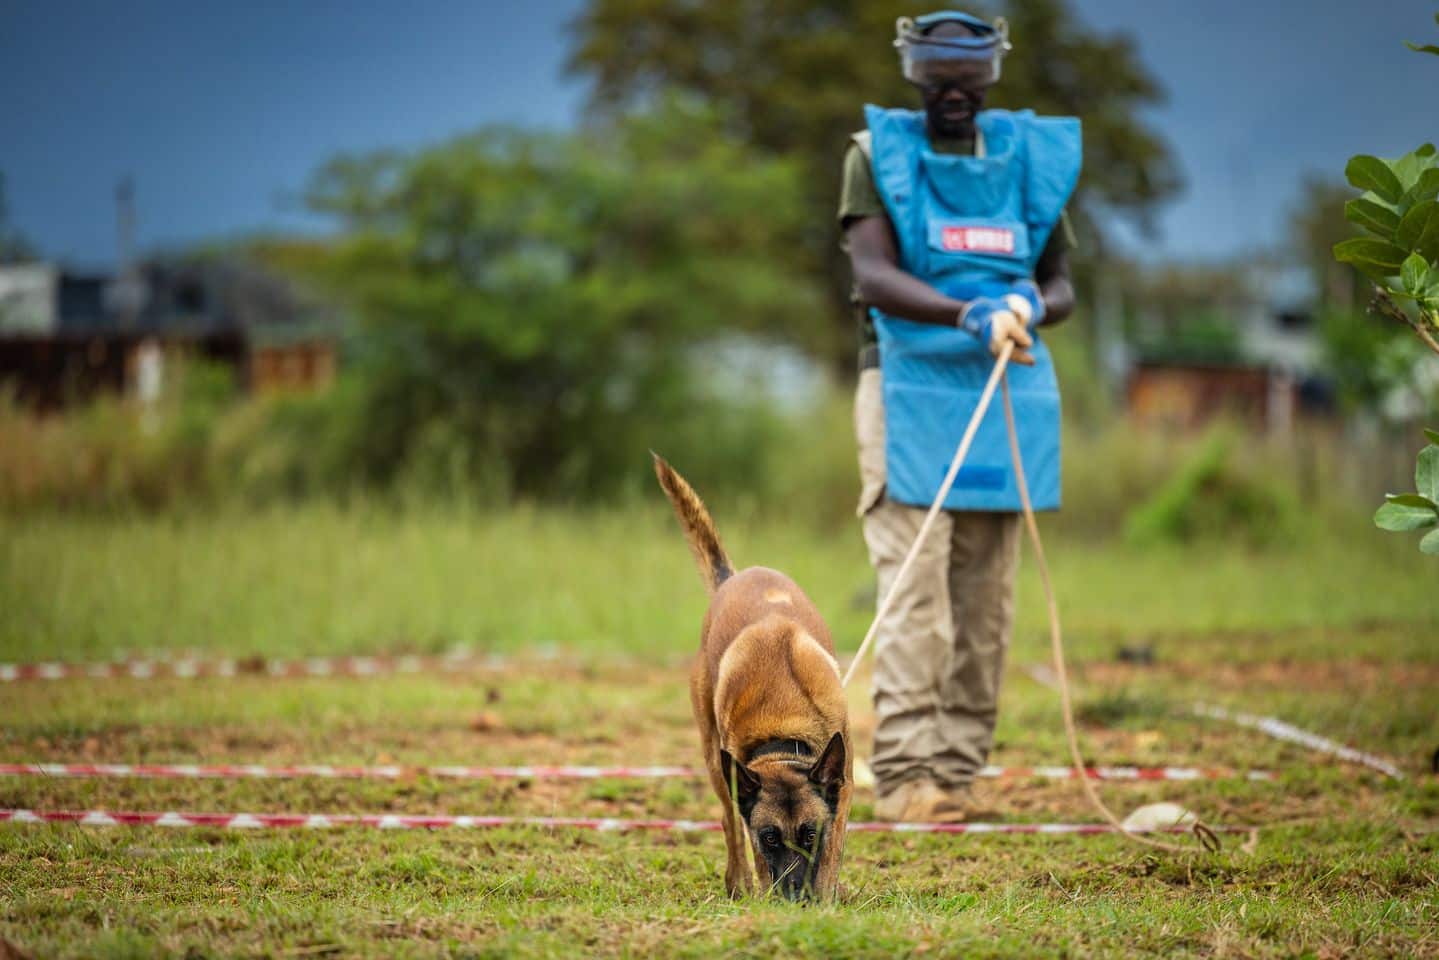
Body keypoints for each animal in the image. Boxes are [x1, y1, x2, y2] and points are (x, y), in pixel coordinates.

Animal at [656, 457, 851, 903]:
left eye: (809, 835)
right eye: (769, 837)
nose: (795, 898)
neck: (784, 725)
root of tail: (734, 576)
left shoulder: (842, 788)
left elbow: (833, 847)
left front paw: (827, 892)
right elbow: (746, 839)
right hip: (714, 759)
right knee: (729, 820)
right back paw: (737, 882)